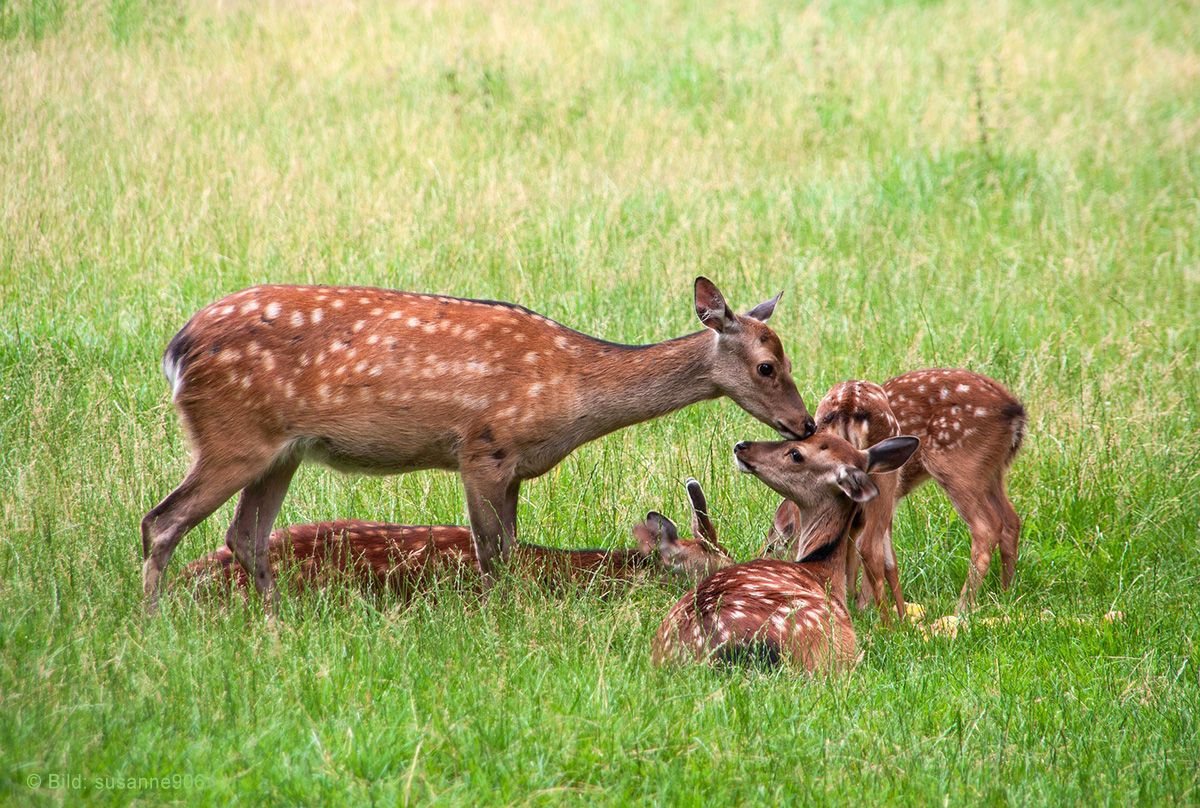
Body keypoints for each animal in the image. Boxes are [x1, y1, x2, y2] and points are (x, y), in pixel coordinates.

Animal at [142, 280, 816, 607]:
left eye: (787, 358)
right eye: (766, 366)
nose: (806, 424)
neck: (574, 391)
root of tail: (177, 350)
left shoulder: (515, 468)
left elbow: (511, 551)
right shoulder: (483, 448)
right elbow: (492, 555)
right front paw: (502, 624)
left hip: (280, 451)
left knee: (245, 536)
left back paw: (274, 625)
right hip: (231, 435)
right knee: (161, 521)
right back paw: (155, 626)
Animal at [768, 369, 1022, 614]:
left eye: (774, 546)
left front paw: (863, 605)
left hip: (955, 468)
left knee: (985, 527)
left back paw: (957, 610)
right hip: (990, 471)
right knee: (1011, 520)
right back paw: (1005, 594)